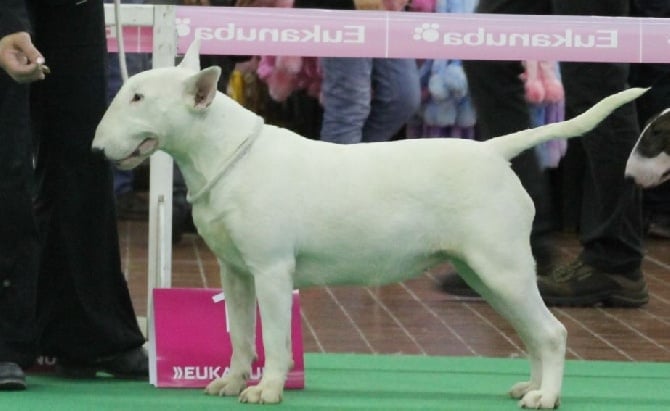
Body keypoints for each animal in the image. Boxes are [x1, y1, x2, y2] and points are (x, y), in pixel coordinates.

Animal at [92, 39, 648, 408]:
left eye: (138, 98)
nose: (97, 150)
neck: (226, 153)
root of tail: (494, 150)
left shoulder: (272, 271)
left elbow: (275, 338)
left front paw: (266, 389)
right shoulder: (236, 272)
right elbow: (241, 334)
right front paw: (230, 382)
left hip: (502, 266)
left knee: (551, 331)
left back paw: (546, 396)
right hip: (483, 272)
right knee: (531, 331)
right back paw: (530, 386)